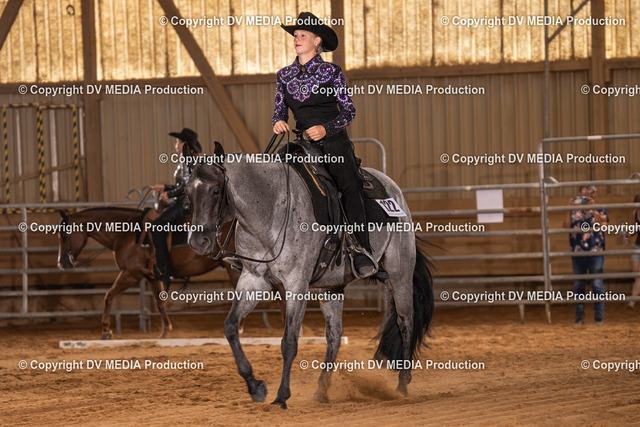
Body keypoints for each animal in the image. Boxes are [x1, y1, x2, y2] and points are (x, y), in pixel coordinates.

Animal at [56, 206, 240, 339]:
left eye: (64, 235)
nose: (61, 263)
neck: (126, 234)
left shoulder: (130, 274)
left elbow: (108, 295)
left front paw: (106, 330)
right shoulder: (151, 277)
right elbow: (159, 302)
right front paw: (166, 330)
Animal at [186, 142, 434, 409]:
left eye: (215, 191)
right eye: (187, 194)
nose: (198, 242)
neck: (271, 209)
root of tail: (395, 191)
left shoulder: (296, 285)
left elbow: (289, 341)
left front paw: (282, 396)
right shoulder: (253, 280)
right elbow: (230, 327)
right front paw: (255, 387)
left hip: (400, 273)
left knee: (405, 321)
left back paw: (402, 385)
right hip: (332, 287)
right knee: (335, 336)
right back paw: (321, 390)